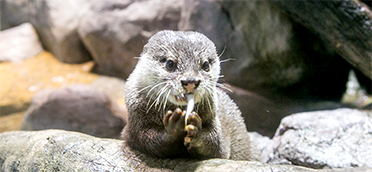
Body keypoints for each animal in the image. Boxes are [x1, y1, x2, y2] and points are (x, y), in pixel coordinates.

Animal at [122, 30, 258, 161]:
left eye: (205, 64)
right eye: (170, 63)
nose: (191, 81)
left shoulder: (215, 120)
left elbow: (217, 145)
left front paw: (196, 131)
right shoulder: (136, 122)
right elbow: (147, 140)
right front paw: (173, 128)